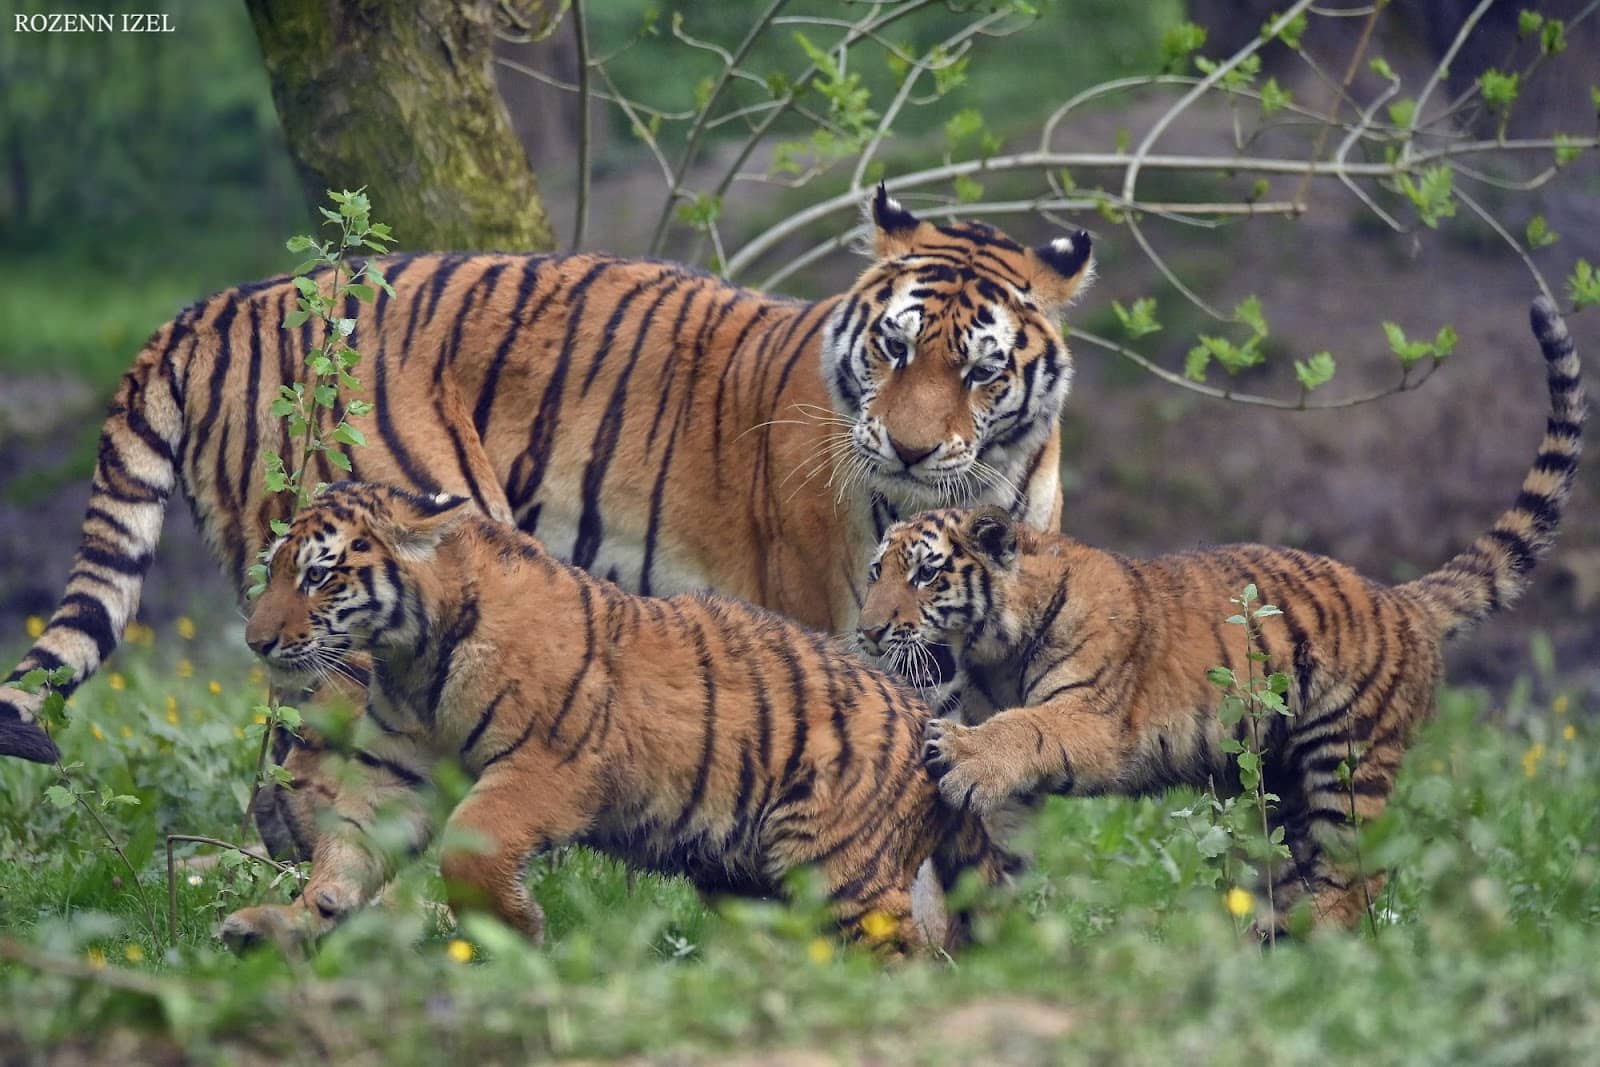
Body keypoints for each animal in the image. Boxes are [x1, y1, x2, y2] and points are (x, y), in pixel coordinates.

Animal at [0, 186, 1094, 867]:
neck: (976, 486)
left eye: (980, 369)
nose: (907, 449)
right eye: (894, 348)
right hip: (388, 573)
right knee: (323, 764)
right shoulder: (848, 631)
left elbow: (982, 780)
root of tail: (219, 304)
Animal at [216, 481, 1015, 952]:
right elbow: (345, 852)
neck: (411, 656)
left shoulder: (549, 766)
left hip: (839, 869)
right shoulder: (391, 771)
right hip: (749, 876)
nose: (254, 640)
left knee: (905, 956)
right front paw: (290, 922)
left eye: (318, 575)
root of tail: (926, 722)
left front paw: (514, 932)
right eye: (278, 569)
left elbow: (470, 848)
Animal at [856, 297, 1584, 931]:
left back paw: (1321, 947)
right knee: (1298, 867)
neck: (992, 649)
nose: (867, 631)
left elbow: (1026, 729)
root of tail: (1402, 598)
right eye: (875, 572)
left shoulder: (1092, 717)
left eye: (924, 573)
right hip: (1278, 789)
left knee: (1358, 873)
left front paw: (958, 750)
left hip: (1346, 759)